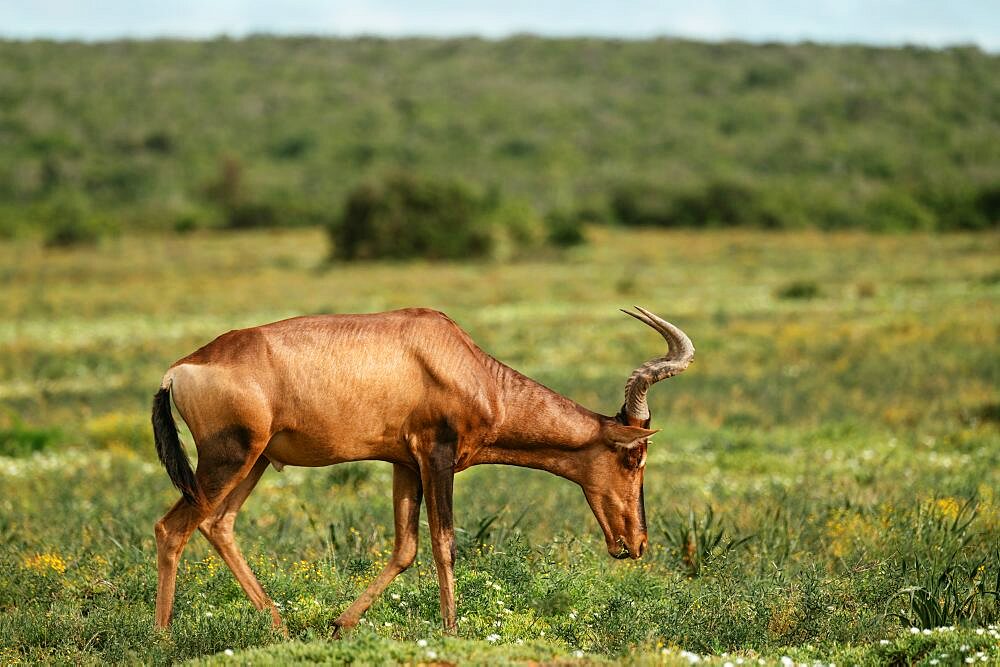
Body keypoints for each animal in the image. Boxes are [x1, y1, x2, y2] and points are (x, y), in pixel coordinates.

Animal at [150, 306, 696, 632]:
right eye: (634, 456)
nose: (636, 542)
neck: (458, 358)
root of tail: (178, 371)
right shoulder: (437, 456)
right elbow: (445, 542)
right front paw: (453, 631)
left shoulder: (404, 463)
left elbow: (405, 548)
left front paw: (340, 626)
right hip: (226, 460)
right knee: (171, 528)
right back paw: (163, 638)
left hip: (255, 461)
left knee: (218, 524)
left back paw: (279, 626)